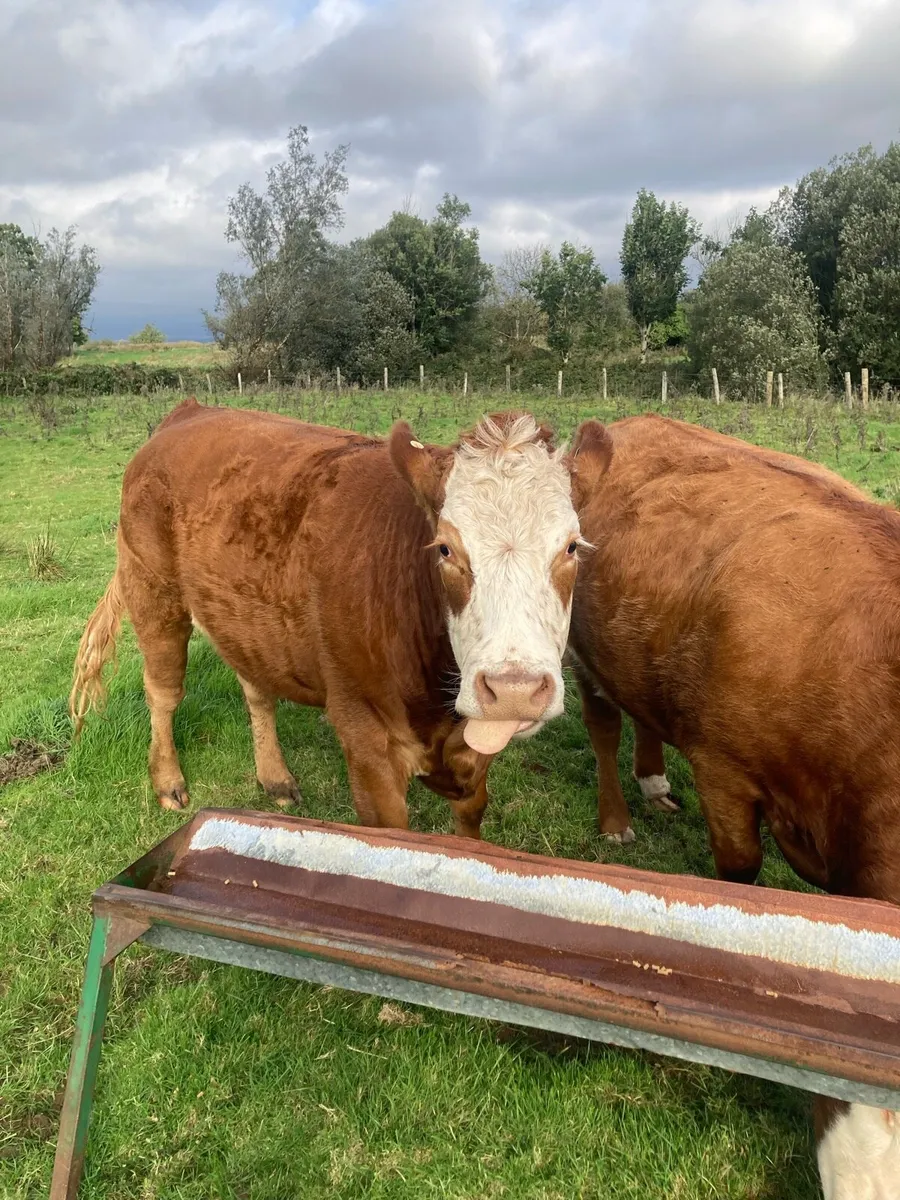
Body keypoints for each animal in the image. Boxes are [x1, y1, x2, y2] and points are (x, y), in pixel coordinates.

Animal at [71, 399, 597, 838]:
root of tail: (189, 411)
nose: (514, 690)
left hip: (245, 619)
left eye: (572, 546)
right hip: (154, 592)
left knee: (256, 690)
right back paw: (168, 779)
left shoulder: (472, 754)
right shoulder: (365, 739)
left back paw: (275, 777)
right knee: (163, 692)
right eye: (445, 548)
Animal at [567, 413, 900, 1200]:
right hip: (582, 648)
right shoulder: (724, 767)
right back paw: (617, 818)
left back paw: (656, 785)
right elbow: (741, 877)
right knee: (603, 725)